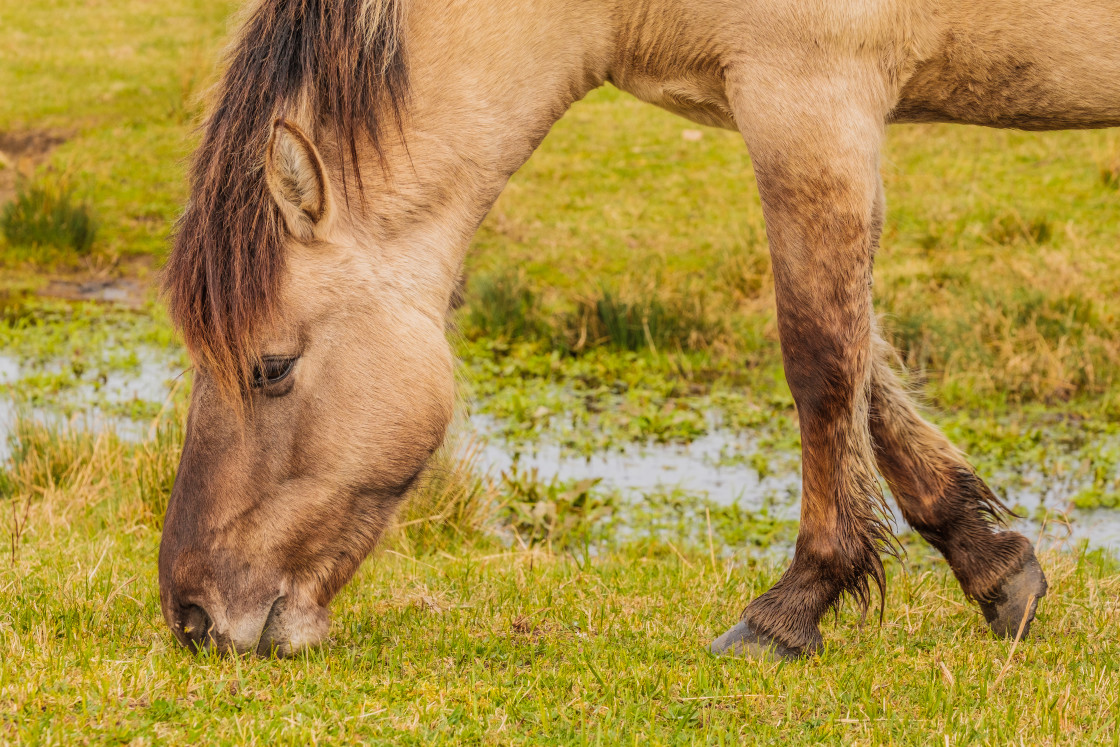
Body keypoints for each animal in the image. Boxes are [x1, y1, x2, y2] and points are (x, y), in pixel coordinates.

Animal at [160, 0, 1120, 658]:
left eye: (272, 366)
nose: (193, 614)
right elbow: (866, 363)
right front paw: (994, 567)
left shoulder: (809, 100)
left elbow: (822, 355)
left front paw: (792, 607)